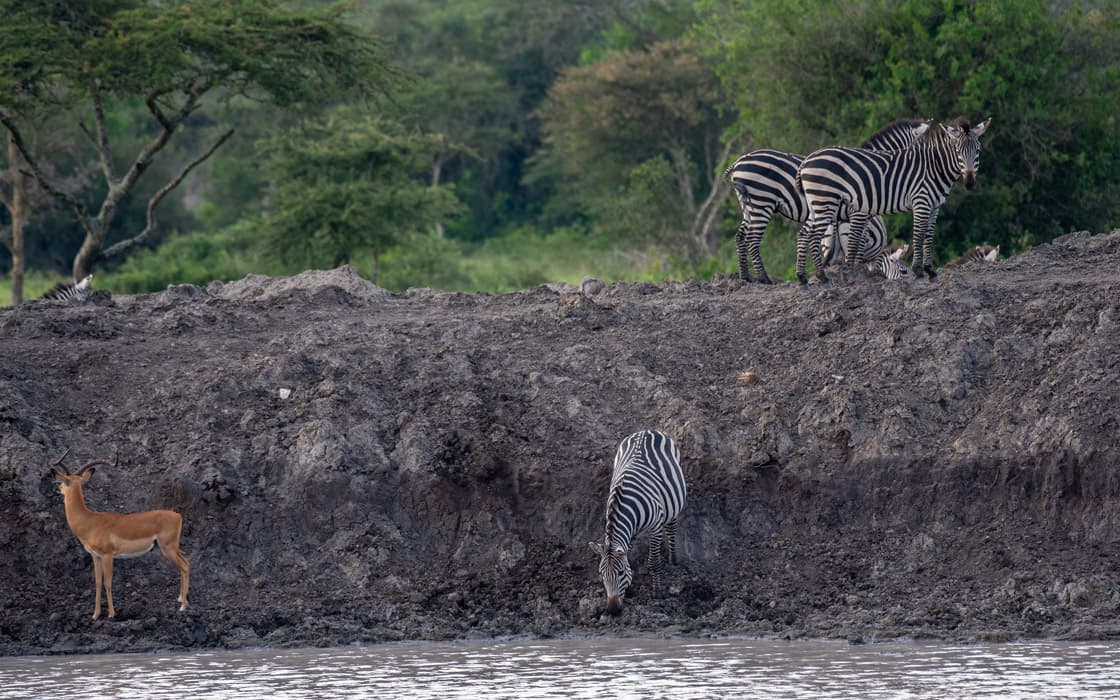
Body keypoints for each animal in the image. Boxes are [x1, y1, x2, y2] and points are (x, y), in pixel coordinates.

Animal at [589, 430, 687, 616]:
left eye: (620, 573)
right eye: (601, 573)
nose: (612, 610)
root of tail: (647, 430)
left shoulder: (655, 528)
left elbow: (654, 562)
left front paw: (657, 593)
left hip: (673, 503)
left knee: (672, 527)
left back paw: (674, 558)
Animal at [724, 118, 929, 284]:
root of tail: (738, 162)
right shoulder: (857, 213)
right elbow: (855, 244)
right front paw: (855, 273)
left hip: (748, 206)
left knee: (740, 236)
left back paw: (746, 278)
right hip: (762, 202)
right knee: (752, 238)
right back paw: (764, 278)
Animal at [796, 116, 991, 285]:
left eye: (977, 151)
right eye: (958, 151)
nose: (969, 183)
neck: (933, 168)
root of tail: (807, 160)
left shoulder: (934, 206)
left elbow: (929, 236)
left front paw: (930, 271)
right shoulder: (920, 202)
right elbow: (918, 235)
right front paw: (919, 272)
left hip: (816, 206)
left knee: (804, 234)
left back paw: (803, 279)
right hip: (825, 203)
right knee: (814, 236)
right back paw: (822, 277)